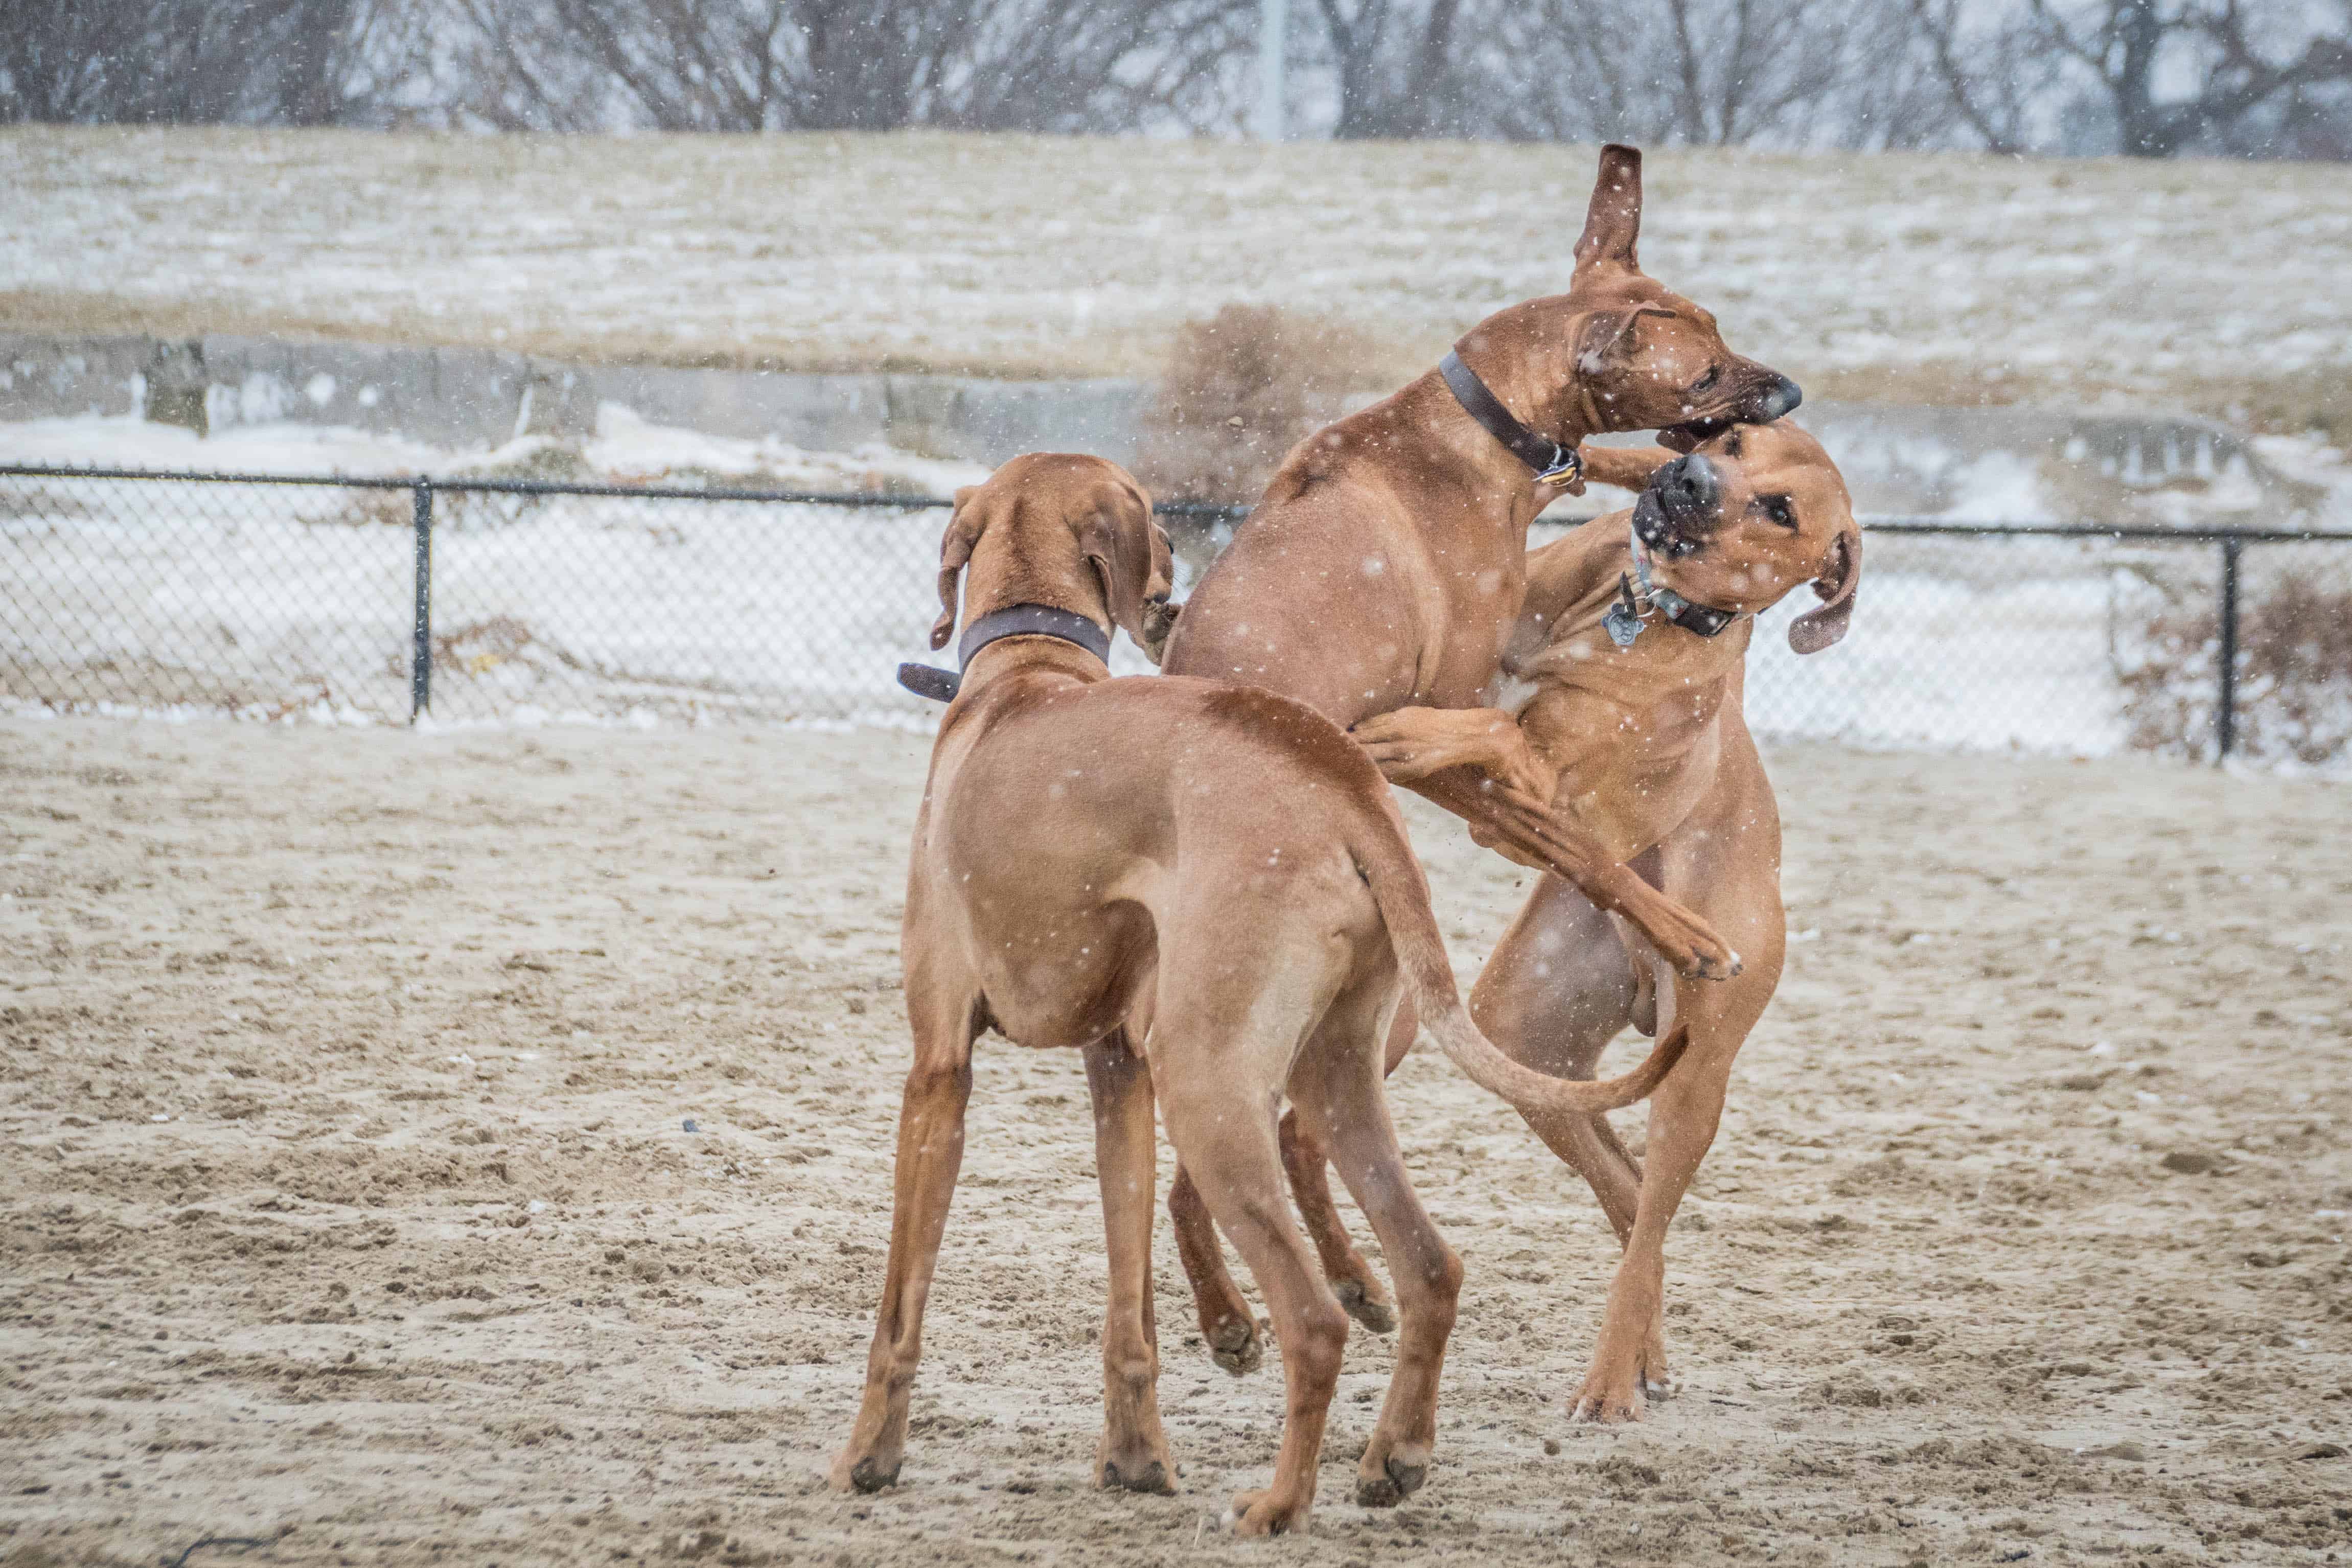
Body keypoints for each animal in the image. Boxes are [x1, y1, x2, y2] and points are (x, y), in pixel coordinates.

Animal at [837, 451, 1684, 1533]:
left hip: (1205, 1077)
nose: (1171, 560)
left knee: (1315, 1319)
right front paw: (1136, 1457)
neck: (1029, 661)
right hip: (1332, 1069)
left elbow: (900, 1299)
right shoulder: (1119, 1073)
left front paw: (869, 1455)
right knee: (1431, 1264)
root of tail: (1347, 789)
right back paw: (1394, 1457)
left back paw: (1279, 1501)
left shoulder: (939, 1068)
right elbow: (1129, 1301)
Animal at [1157, 144, 1796, 1373]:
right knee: (1232, 1159)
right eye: (1706, 369)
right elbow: (1562, 819)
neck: (1477, 433)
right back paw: (1263, 1306)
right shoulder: (1431, 723)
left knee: (1236, 1160)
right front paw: (1686, 933)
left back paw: (1301, 1294)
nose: (1787, 392)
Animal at [1354, 423, 1862, 1429]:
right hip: (1529, 1031)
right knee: (1627, 1197)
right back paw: (1646, 1356)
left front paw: (1413, 733)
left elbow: (1495, 730)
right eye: (1734, 439)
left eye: (1780, 509)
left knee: (1655, 1203)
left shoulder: (1529, 788)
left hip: (1696, 1070)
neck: (1632, 607)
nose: (1690, 476)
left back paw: (1609, 1379)